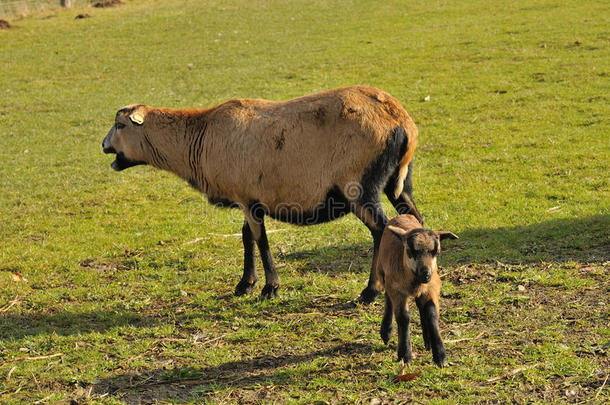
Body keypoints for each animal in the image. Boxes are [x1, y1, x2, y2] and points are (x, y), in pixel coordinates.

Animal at [101, 85, 422, 300]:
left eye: (119, 125)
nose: (103, 146)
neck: (199, 137)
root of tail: (400, 121)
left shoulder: (248, 200)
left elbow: (260, 239)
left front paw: (269, 288)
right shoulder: (248, 199)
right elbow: (246, 238)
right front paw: (246, 283)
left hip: (359, 186)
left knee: (380, 230)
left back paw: (370, 291)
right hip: (399, 182)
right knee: (414, 220)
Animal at [376, 215, 456, 366]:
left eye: (436, 252)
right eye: (410, 251)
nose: (426, 273)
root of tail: (402, 215)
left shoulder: (432, 286)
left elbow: (431, 312)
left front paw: (440, 356)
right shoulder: (397, 290)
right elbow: (403, 317)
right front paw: (404, 355)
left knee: (421, 306)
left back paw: (427, 340)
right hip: (384, 273)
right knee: (388, 299)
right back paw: (386, 332)